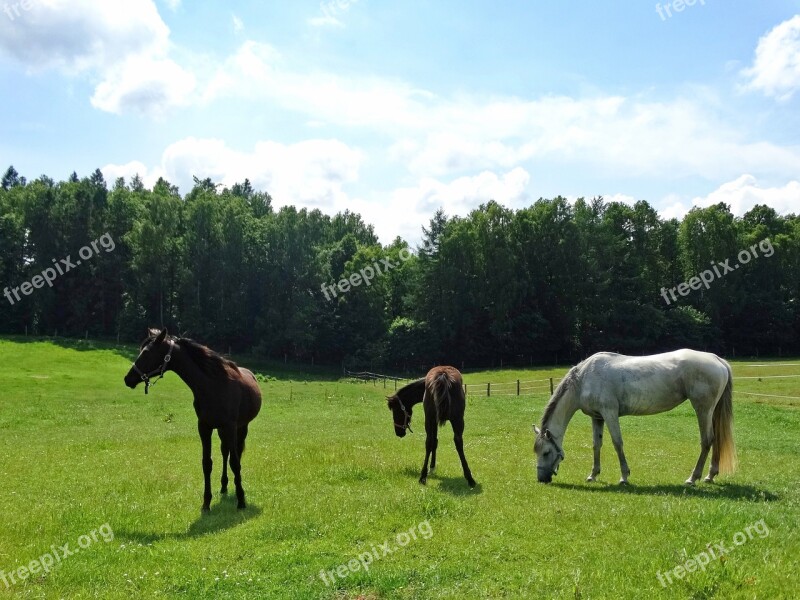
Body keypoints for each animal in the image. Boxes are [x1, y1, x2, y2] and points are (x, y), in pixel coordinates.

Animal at [123, 328, 262, 510]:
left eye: (146, 353)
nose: (128, 379)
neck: (213, 386)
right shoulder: (204, 427)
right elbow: (207, 463)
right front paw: (206, 503)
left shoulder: (230, 427)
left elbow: (235, 462)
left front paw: (241, 500)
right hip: (221, 430)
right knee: (224, 452)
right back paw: (224, 486)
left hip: (241, 428)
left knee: (233, 454)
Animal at [536, 350, 736, 486]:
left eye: (546, 452)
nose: (541, 479)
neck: (584, 379)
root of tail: (717, 359)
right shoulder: (597, 417)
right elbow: (596, 445)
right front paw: (593, 475)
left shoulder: (610, 413)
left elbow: (617, 443)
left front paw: (624, 477)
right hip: (711, 411)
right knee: (716, 440)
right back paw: (710, 476)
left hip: (703, 410)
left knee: (706, 441)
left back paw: (693, 478)